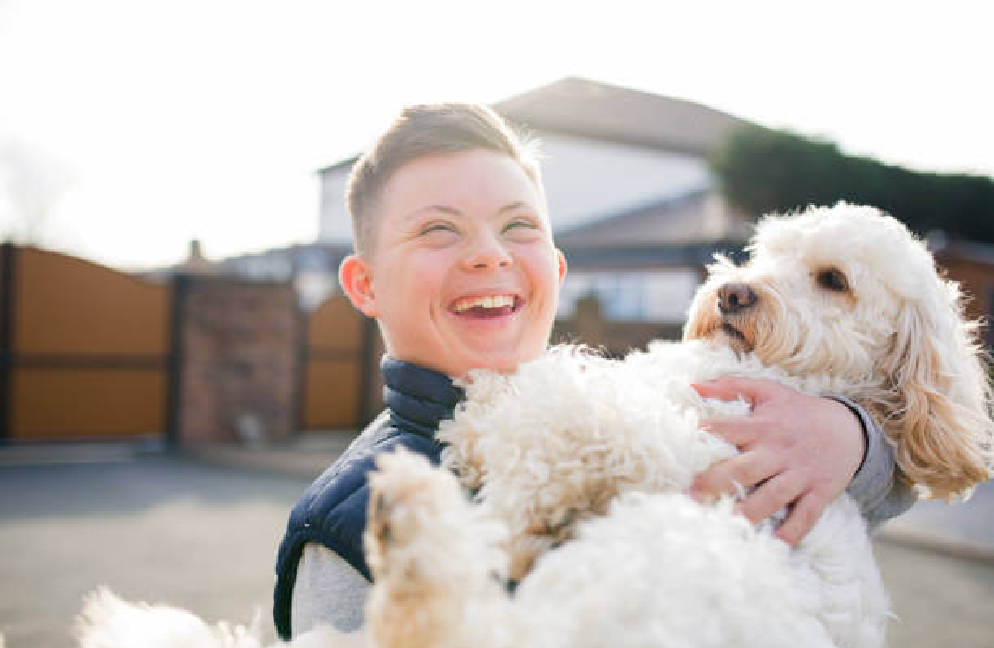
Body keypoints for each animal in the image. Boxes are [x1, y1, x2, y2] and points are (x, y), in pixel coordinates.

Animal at [73, 205, 988, 648]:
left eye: (833, 280)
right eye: (763, 255)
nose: (735, 293)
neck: (795, 376)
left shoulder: (662, 437)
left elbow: (554, 407)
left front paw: (482, 433)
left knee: (438, 627)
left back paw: (411, 521)